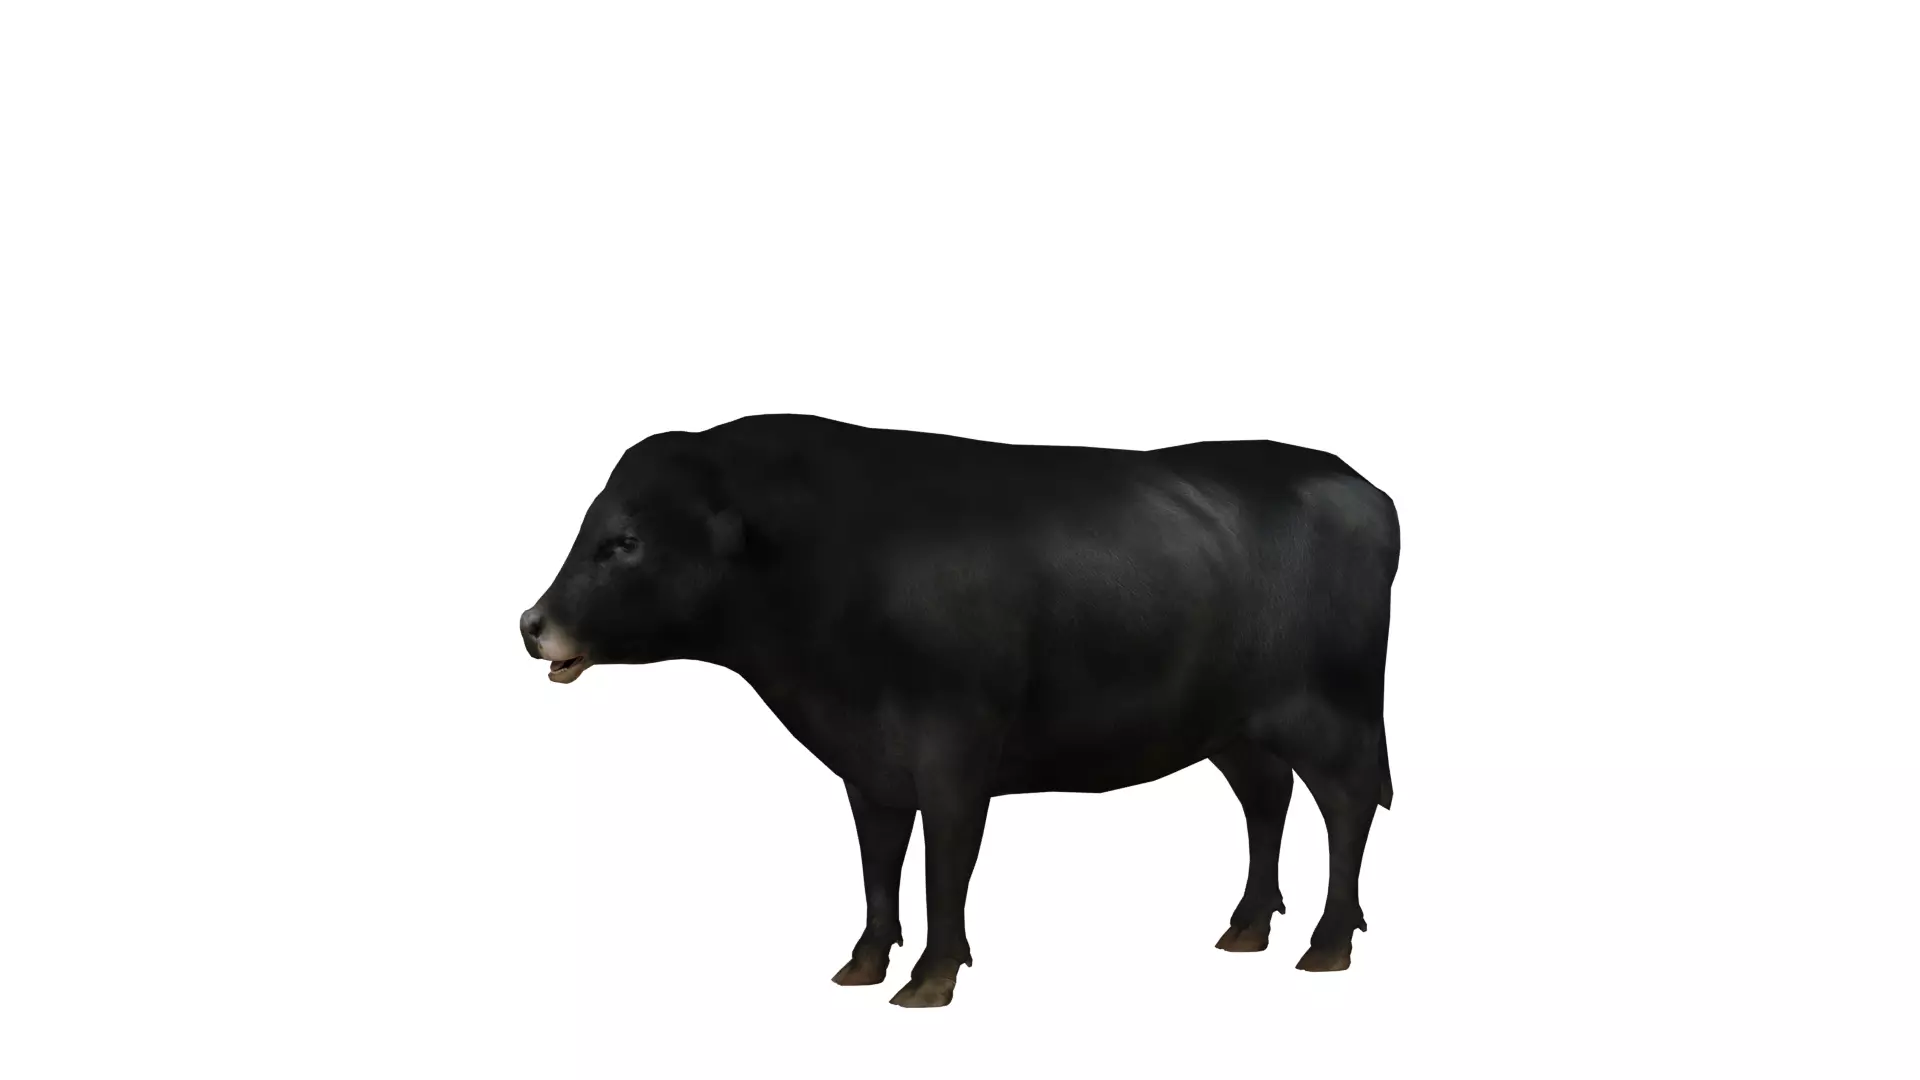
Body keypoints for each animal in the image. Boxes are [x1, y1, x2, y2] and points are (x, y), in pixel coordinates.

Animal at [520, 413, 1399, 1007]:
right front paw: (863, 962)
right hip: (1236, 726)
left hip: (1331, 712)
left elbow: (946, 863)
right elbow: (878, 863)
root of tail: (1358, 485)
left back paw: (1327, 944)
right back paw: (1247, 927)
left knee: (1348, 802)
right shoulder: (868, 763)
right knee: (1267, 798)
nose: (532, 624)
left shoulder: (954, 752)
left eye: (624, 542)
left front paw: (931, 977)